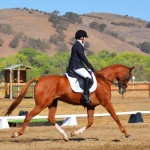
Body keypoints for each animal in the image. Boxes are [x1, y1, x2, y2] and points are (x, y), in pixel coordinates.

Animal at [4, 64, 135, 141]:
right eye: (128, 76)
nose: (122, 90)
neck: (103, 80)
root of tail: (40, 79)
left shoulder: (91, 106)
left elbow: (90, 122)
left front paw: (74, 133)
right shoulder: (106, 102)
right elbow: (115, 117)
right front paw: (126, 133)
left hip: (52, 103)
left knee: (51, 118)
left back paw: (65, 136)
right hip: (42, 104)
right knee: (29, 116)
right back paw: (16, 134)